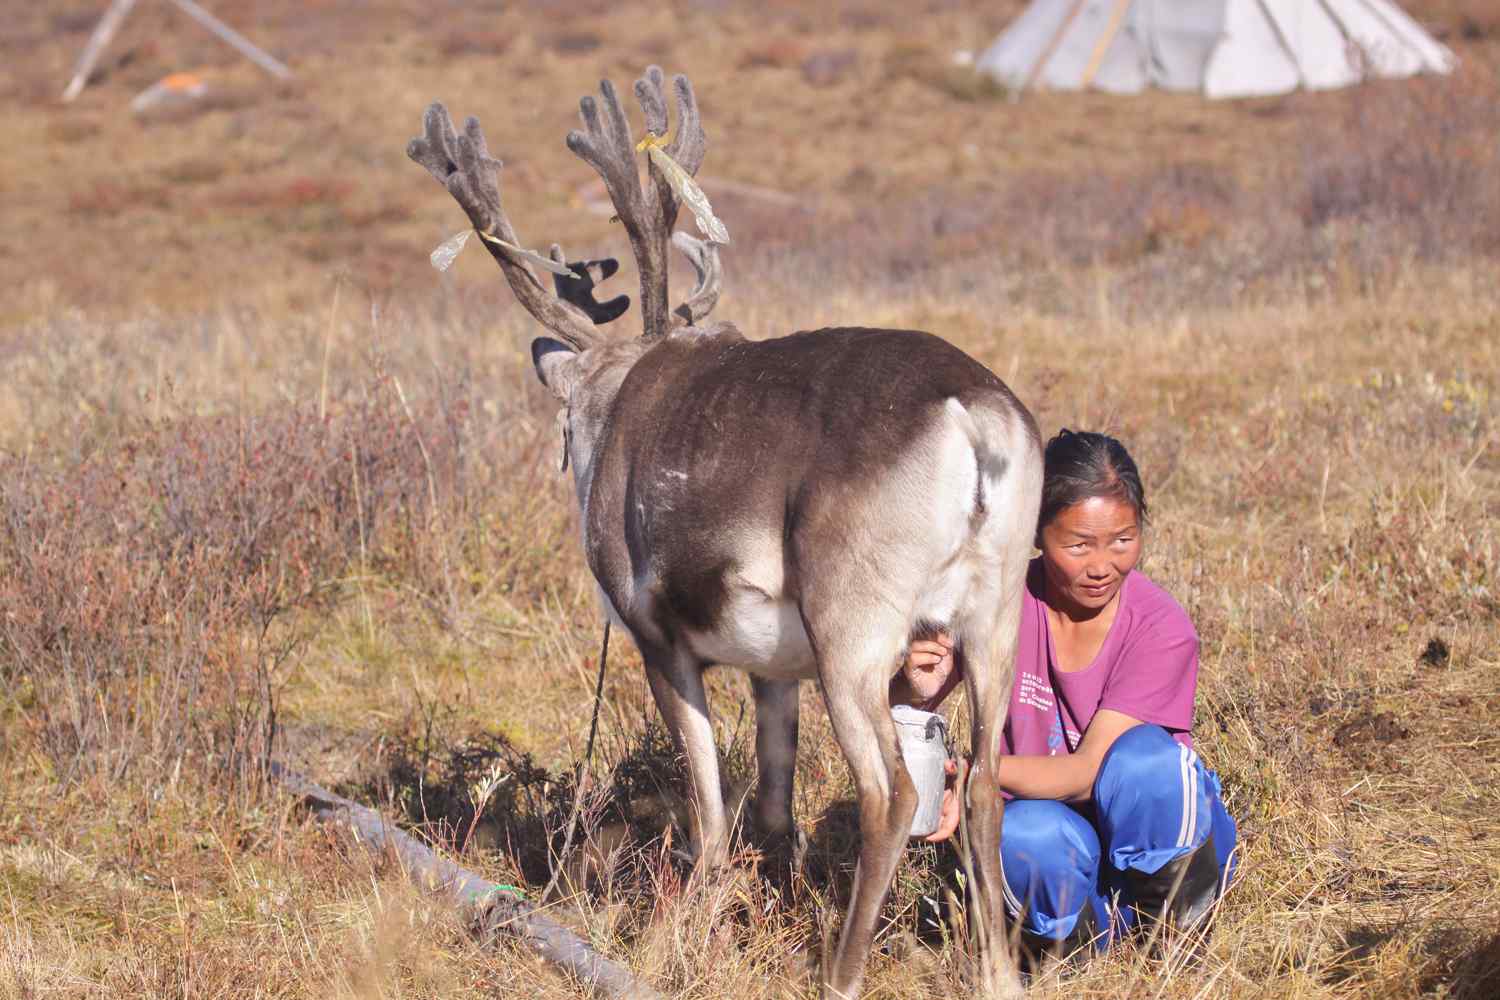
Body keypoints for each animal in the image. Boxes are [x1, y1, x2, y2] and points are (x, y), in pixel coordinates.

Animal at [408, 67, 1040, 1000]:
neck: (609, 401)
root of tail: (976, 419)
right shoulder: (774, 667)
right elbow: (774, 811)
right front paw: (768, 908)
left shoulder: (658, 635)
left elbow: (708, 812)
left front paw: (677, 936)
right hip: (993, 615)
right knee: (989, 783)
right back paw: (995, 973)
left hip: (853, 623)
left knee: (890, 790)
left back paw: (840, 973)